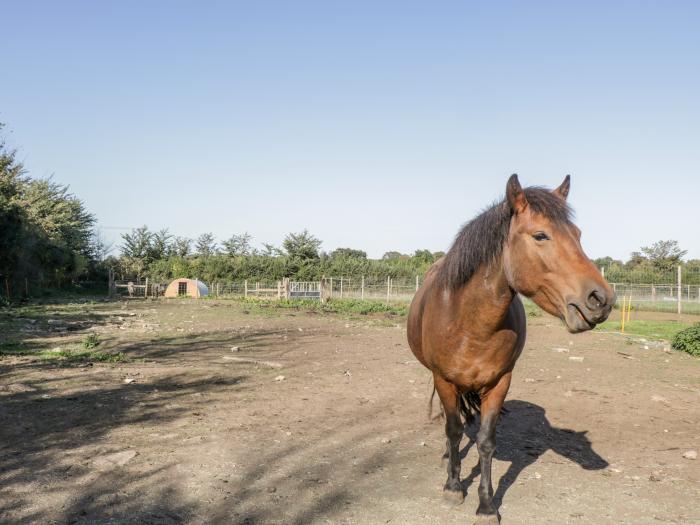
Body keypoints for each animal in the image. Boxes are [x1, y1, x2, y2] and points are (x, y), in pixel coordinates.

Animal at [408, 174, 616, 520]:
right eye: (540, 235)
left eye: (577, 234)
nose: (601, 299)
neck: (470, 322)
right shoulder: (444, 380)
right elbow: (453, 431)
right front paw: (453, 487)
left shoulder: (499, 382)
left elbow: (486, 441)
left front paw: (486, 505)